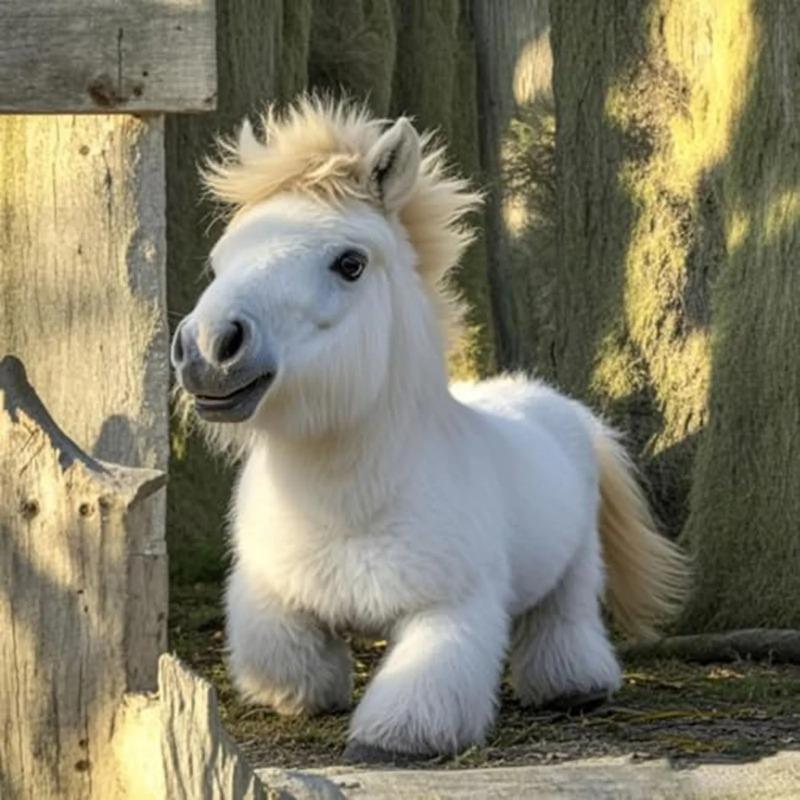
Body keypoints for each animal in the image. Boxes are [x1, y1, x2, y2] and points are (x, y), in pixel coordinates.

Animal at [171, 98, 689, 762]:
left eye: (350, 263)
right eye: (219, 261)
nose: (209, 348)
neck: (349, 507)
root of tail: (555, 405)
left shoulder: (448, 609)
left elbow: (422, 693)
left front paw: (390, 742)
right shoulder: (271, 596)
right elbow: (286, 659)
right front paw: (306, 696)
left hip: (575, 570)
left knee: (562, 620)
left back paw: (573, 688)